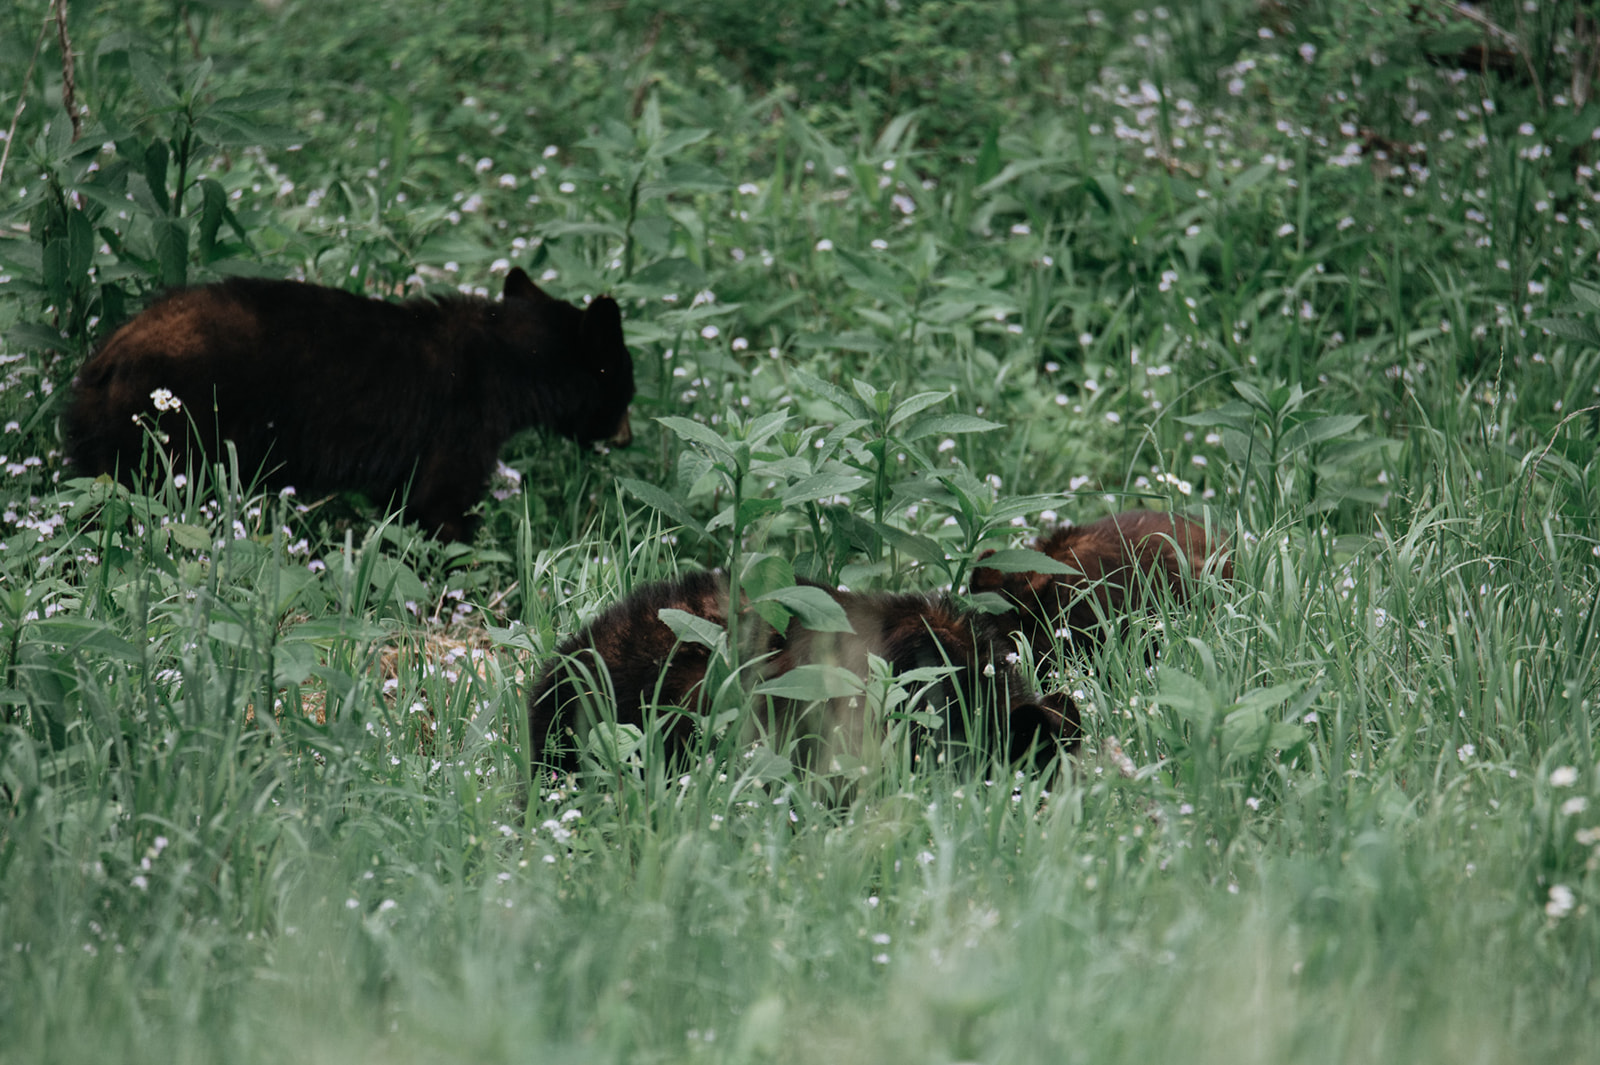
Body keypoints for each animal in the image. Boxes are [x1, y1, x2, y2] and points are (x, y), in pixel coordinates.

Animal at [64, 268, 635, 541]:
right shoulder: (462, 420)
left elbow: (401, 503)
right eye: (627, 387)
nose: (627, 436)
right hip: (173, 432)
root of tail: (102, 364)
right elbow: (440, 505)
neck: (508, 357)